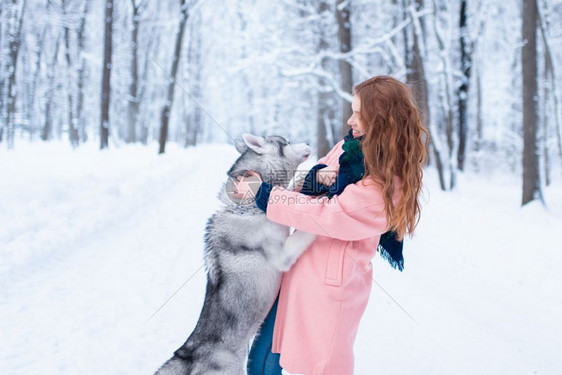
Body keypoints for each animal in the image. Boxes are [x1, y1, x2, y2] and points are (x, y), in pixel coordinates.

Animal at [154, 134, 316, 374]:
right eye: (285, 142)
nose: (308, 142)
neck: (247, 207)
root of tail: (189, 352)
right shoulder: (282, 255)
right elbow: (305, 232)